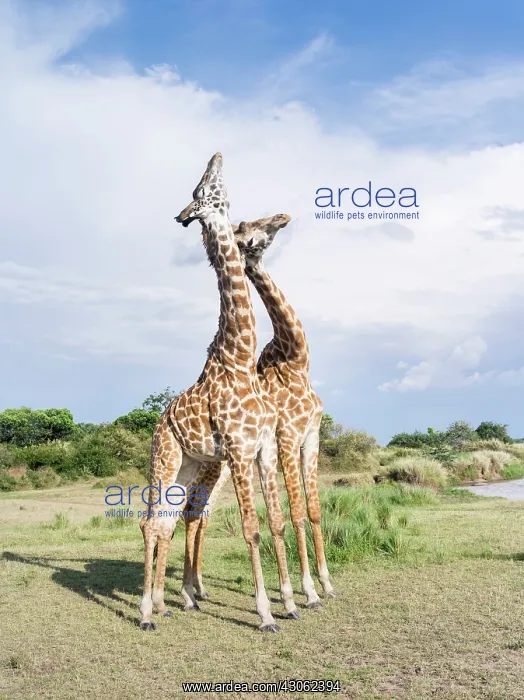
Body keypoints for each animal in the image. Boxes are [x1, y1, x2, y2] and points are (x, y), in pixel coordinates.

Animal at [139, 153, 298, 633]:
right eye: (200, 188)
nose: (216, 156)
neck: (240, 358)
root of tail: (158, 424)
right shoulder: (240, 450)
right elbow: (252, 529)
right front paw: (265, 614)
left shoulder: (263, 448)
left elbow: (277, 522)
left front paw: (292, 602)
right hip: (165, 459)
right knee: (150, 524)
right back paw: (145, 613)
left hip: (189, 465)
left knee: (167, 522)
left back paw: (162, 604)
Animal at [186, 213, 336, 608]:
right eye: (245, 226)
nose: (282, 217)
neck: (296, 361)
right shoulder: (287, 436)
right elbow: (295, 514)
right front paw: (306, 591)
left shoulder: (311, 436)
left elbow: (313, 511)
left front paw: (327, 584)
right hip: (212, 467)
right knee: (193, 513)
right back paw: (191, 591)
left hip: (222, 469)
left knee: (200, 515)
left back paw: (199, 589)